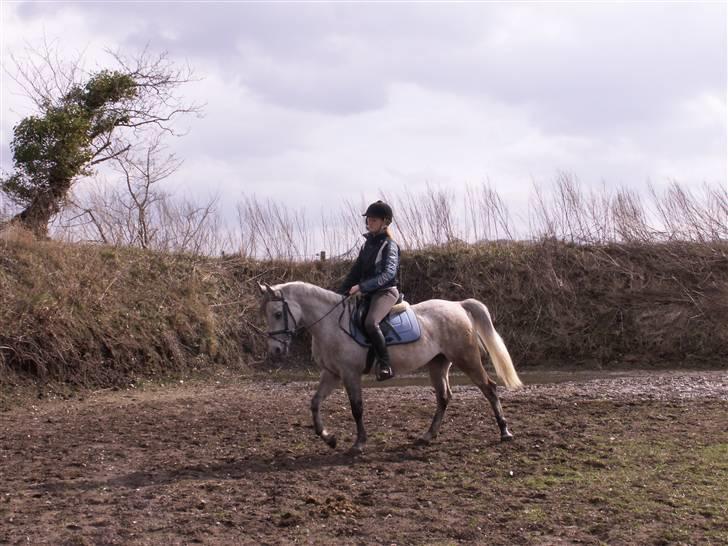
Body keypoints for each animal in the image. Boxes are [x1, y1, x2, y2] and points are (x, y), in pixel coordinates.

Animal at [256, 281, 522, 454]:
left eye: (278, 313)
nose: (275, 350)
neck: (330, 325)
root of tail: (458, 305)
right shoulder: (331, 374)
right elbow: (314, 403)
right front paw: (329, 438)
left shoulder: (350, 374)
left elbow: (357, 408)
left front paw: (359, 443)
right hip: (438, 364)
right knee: (444, 397)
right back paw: (427, 436)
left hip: (466, 359)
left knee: (489, 388)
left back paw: (505, 432)